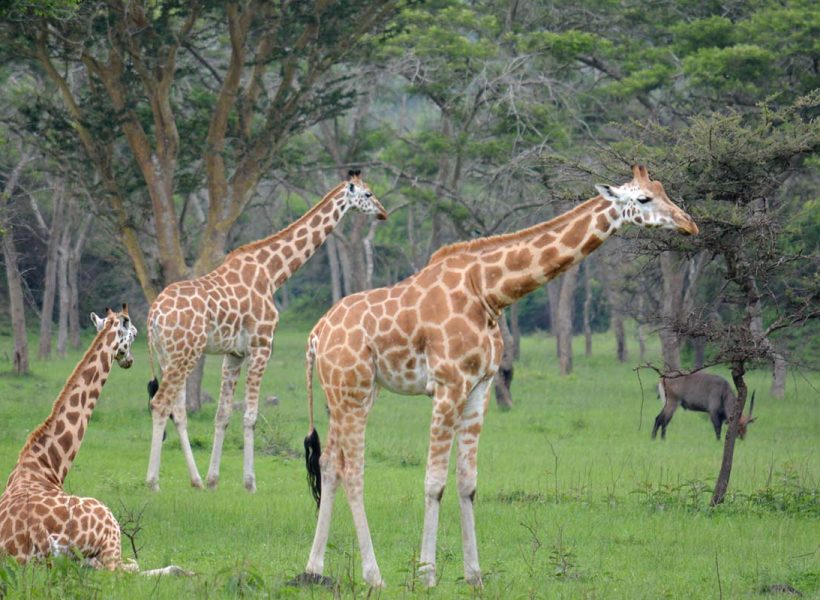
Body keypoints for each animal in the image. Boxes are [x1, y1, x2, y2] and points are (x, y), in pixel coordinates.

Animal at [0, 310, 142, 572]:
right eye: (134, 334)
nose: (130, 361)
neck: (47, 464)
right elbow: (134, 565)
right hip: (108, 528)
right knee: (127, 569)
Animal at [147, 170, 388, 492]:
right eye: (367, 194)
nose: (383, 213)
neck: (273, 272)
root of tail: (153, 317)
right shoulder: (262, 345)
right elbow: (250, 415)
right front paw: (250, 483)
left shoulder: (234, 353)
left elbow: (223, 414)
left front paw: (213, 480)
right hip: (184, 354)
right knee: (160, 403)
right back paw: (152, 482)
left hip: (171, 356)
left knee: (178, 410)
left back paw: (196, 480)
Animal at [300, 164, 700, 584]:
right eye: (643, 198)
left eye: (664, 190)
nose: (689, 224)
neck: (490, 292)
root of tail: (315, 335)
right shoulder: (448, 385)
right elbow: (434, 482)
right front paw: (427, 574)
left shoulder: (480, 387)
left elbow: (467, 483)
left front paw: (474, 575)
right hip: (353, 391)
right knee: (352, 471)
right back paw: (373, 575)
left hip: (344, 393)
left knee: (329, 465)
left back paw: (314, 569)